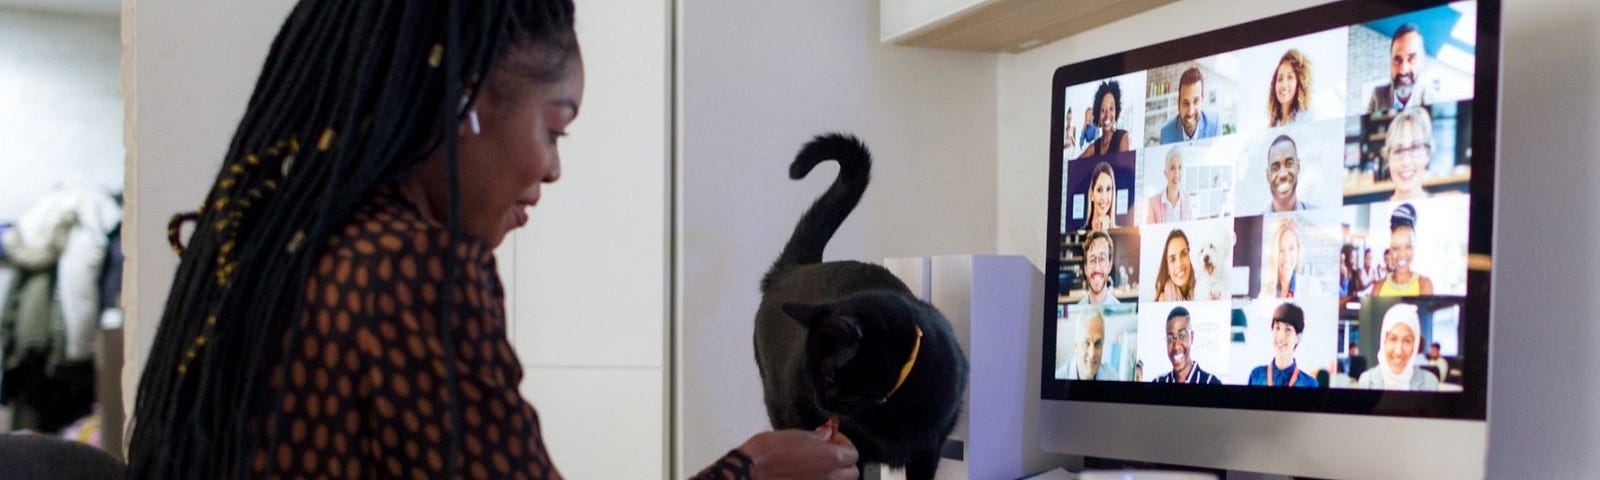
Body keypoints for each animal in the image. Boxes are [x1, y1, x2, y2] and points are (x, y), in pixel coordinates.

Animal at [755, 132, 966, 480]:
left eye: (828, 376)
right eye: (809, 374)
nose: (820, 403)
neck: (893, 404)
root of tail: (794, 268)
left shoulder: (929, 449)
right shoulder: (853, 453)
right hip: (780, 406)